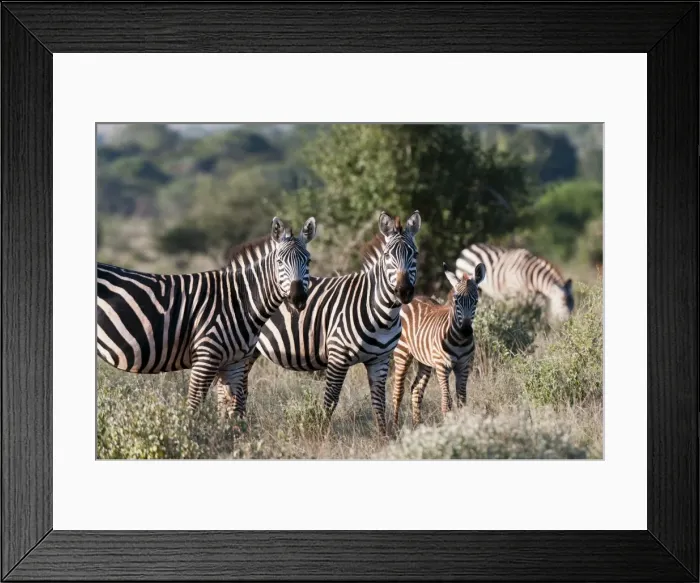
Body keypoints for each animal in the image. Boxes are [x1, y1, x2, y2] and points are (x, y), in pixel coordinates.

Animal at [96, 216, 317, 417]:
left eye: (308, 261)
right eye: (279, 261)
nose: (298, 298)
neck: (239, 300)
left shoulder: (235, 363)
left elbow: (234, 412)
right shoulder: (206, 357)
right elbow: (194, 407)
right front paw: (189, 435)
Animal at [236, 210, 422, 436]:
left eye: (415, 255)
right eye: (387, 256)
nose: (403, 292)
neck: (383, 315)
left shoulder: (381, 359)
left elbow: (379, 402)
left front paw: (384, 437)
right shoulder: (338, 356)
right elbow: (330, 401)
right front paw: (321, 436)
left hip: (250, 351)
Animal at [392, 261, 486, 426]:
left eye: (475, 301)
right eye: (456, 301)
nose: (466, 331)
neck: (459, 340)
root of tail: (412, 299)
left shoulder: (464, 366)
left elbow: (462, 400)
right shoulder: (443, 367)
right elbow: (446, 401)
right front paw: (448, 427)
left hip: (425, 361)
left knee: (416, 389)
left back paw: (418, 425)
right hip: (402, 354)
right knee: (397, 392)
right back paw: (394, 428)